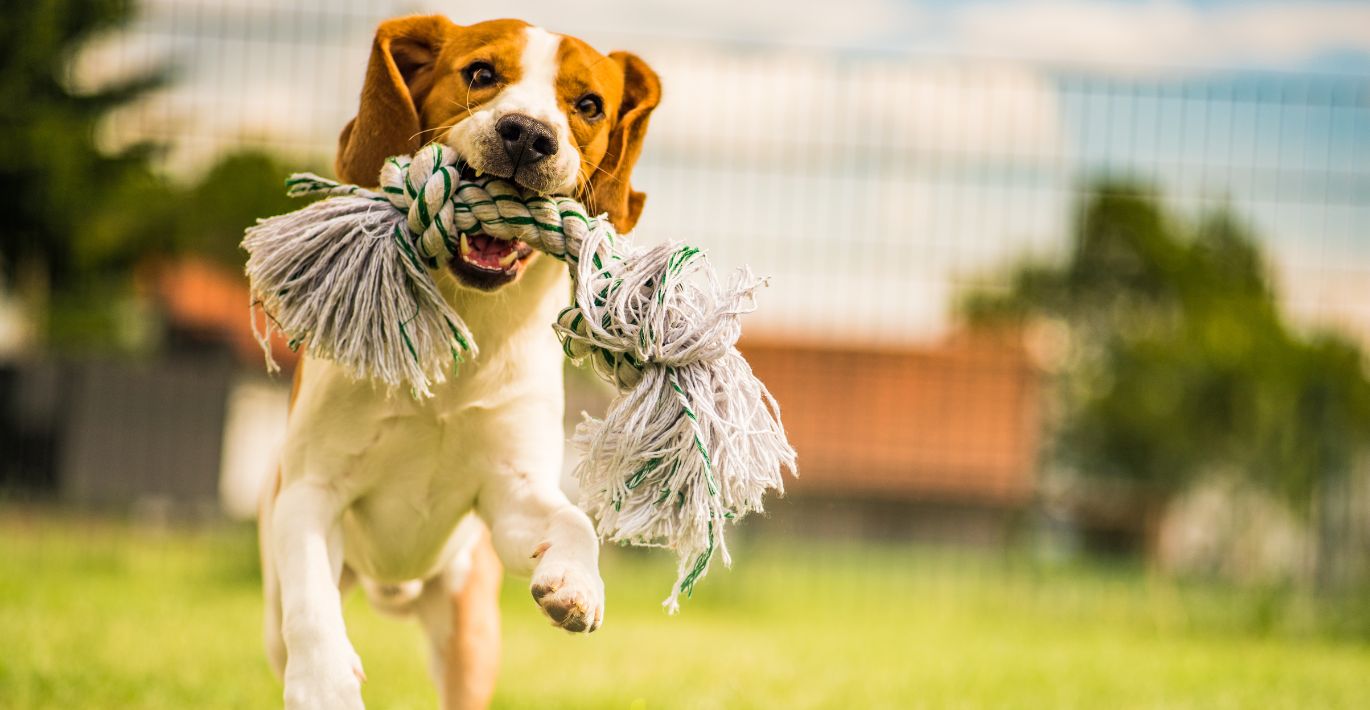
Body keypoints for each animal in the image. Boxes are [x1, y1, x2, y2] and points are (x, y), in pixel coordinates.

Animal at [257, 16, 663, 710]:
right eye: (480, 73)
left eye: (589, 105)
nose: (528, 133)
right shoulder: (311, 489)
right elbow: (312, 608)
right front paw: (325, 682)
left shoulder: (510, 493)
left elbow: (573, 520)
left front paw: (576, 582)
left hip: (468, 629)